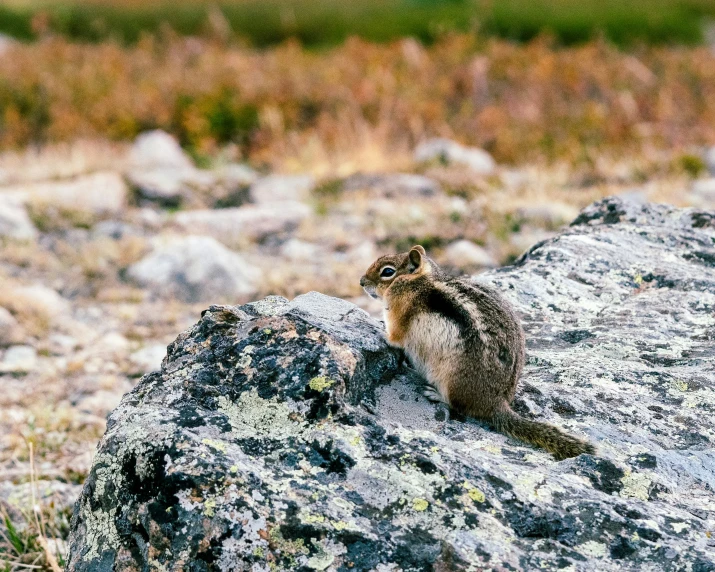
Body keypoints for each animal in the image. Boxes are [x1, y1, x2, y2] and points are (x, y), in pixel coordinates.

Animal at [360, 246, 596, 460]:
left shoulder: (399, 318)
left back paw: (435, 394)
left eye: (387, 271)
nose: (361, 282)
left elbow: (394, 338)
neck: (418, 281)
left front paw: (377, 330)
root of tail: (496, 403)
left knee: (458, 405)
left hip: (451, 379)